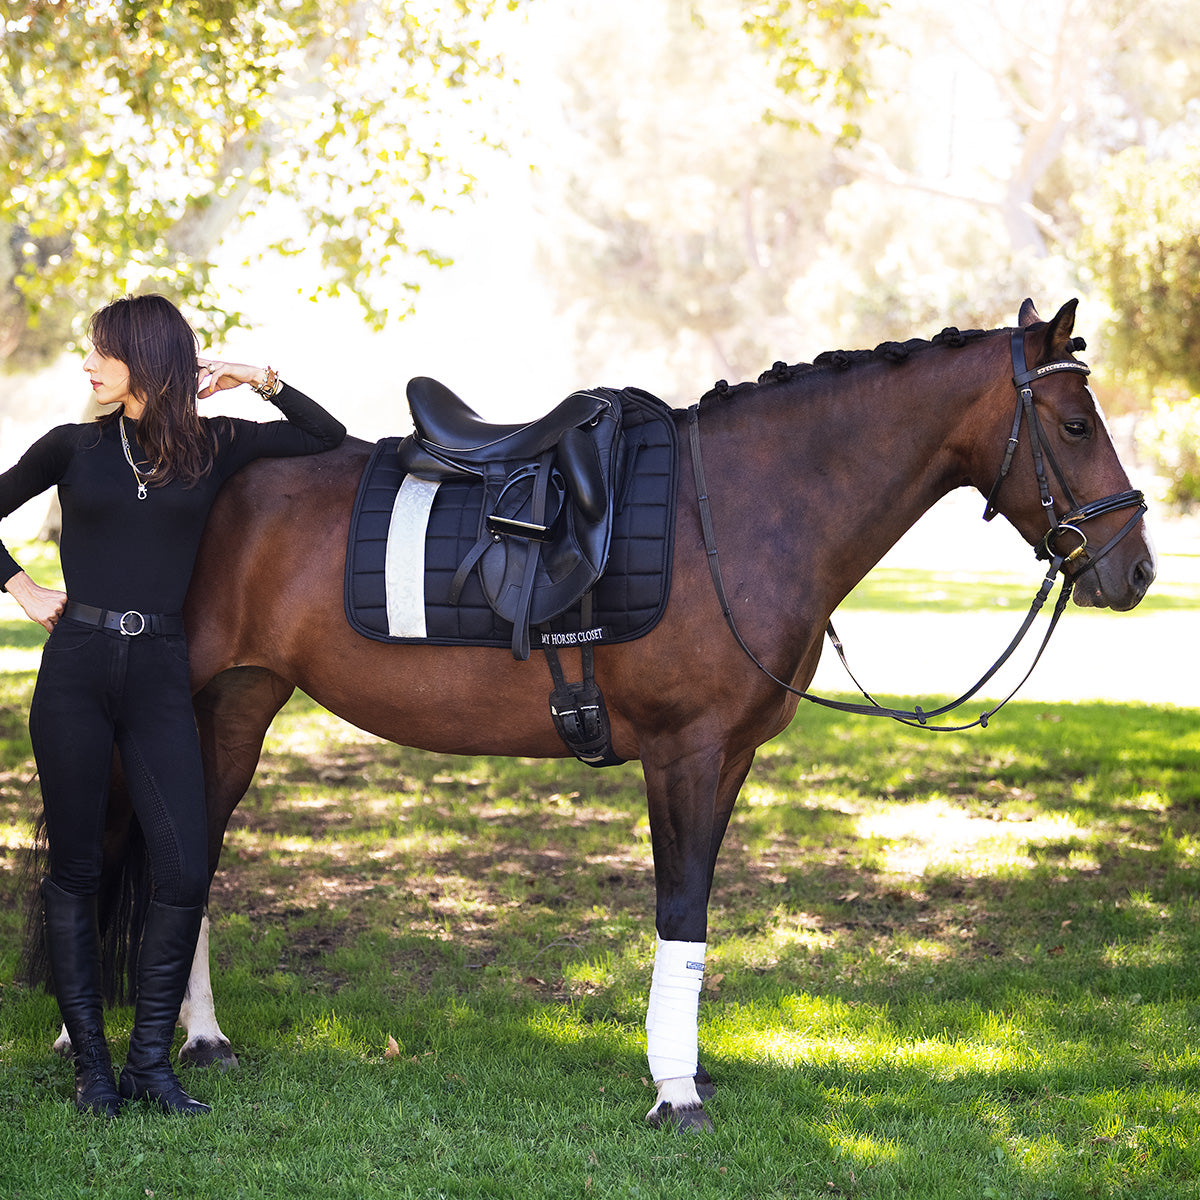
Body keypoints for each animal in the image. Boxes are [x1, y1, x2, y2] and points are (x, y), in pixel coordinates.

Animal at [54, 297, 1152, 1123]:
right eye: (1075, 425)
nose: (1134, 569)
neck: (741, 510)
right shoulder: (683, 754)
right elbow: (679, 907)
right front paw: (676, 1091)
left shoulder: (730, 760)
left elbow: (695, 914)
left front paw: (687, 1067)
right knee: (117, 838)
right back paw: (83, 1036)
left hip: (238, 705)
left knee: (190, 854)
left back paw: (203, 1037)